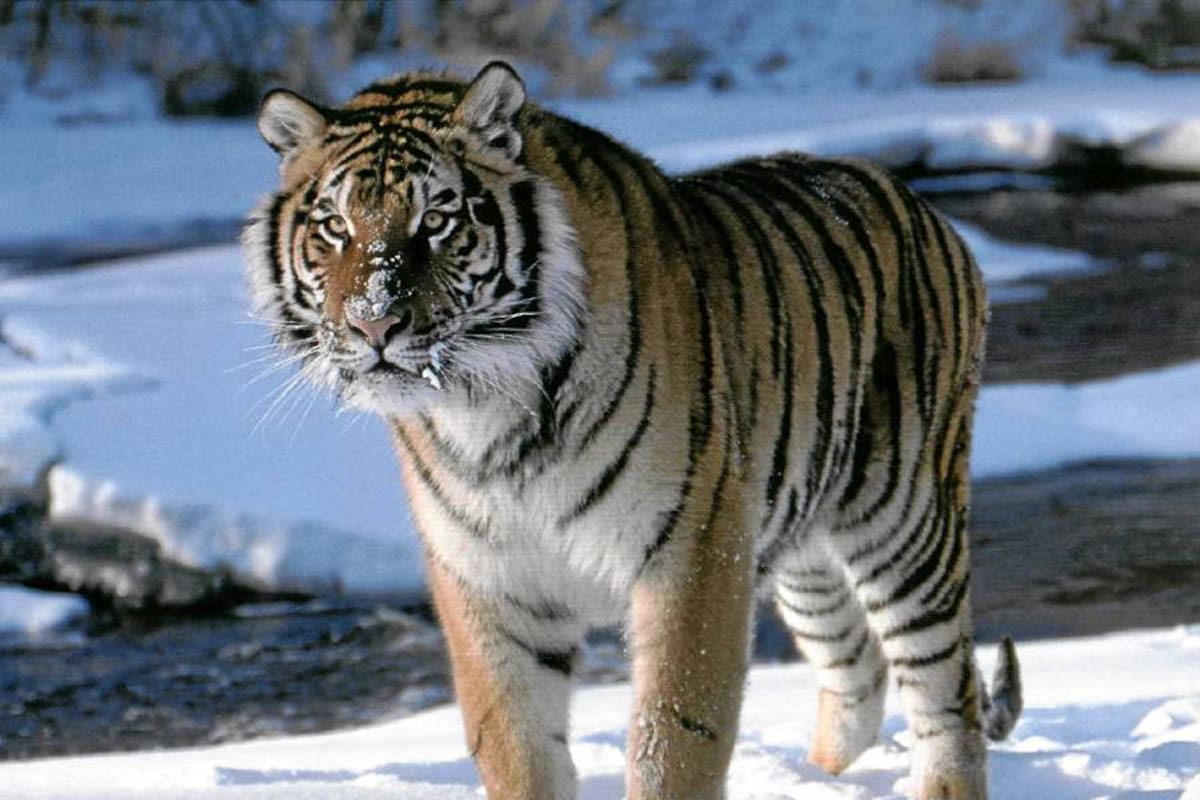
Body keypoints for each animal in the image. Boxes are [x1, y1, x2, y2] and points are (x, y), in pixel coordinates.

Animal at [243, 61, 1023, 799]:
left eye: (435, 220)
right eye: (335, 226)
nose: (373, 323)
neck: (487, 409)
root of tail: (923, 205)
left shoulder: (693, 551)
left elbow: (672, 736)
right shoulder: (489, 578)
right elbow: (516, 746)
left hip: (903, 518)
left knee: (945, 694)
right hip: (804, 553)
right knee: (857, 669)